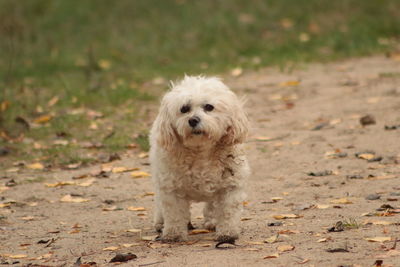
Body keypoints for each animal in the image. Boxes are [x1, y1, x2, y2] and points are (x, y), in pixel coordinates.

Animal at [150, 75, 250, 243]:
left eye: (209, 107)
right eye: (184, 109)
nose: (193, 120)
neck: (200, 150)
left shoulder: (230, 185)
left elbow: (228, 211)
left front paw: (227, 233)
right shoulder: (171, 187)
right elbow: (174, 213)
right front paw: (174, 234)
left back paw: (212, 221)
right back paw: (160, 222)